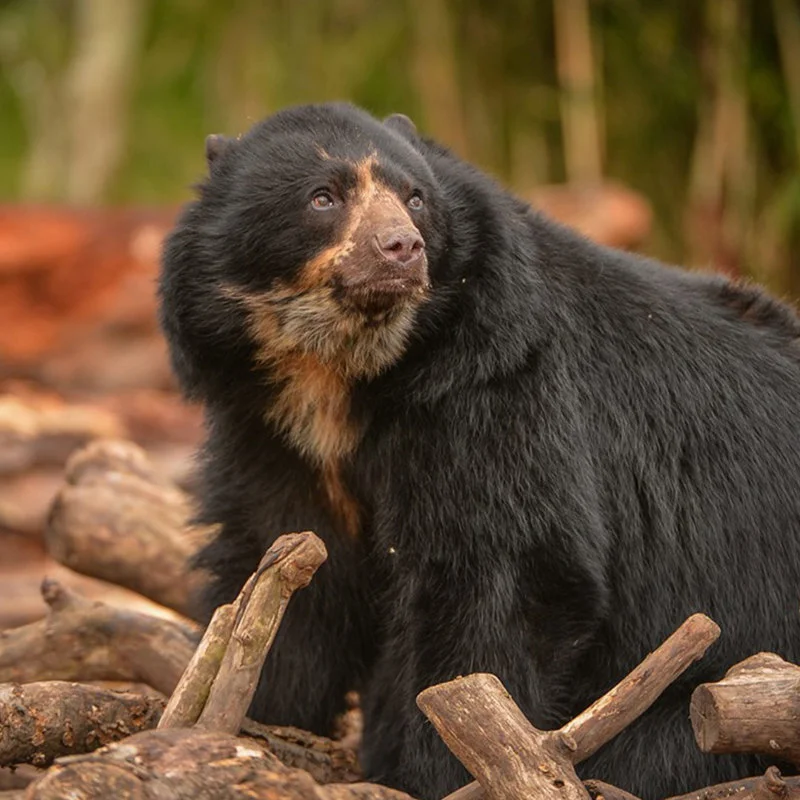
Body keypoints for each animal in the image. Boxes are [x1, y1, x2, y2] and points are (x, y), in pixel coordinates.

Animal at [159, 101, 800, 800]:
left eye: (414, 197)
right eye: (323, 197)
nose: (402, 247)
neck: (344, 373)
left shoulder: (494, 385)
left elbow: (498, 572)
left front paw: (446, 769)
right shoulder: (269, 429)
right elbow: (289, 562)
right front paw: (261, 720)